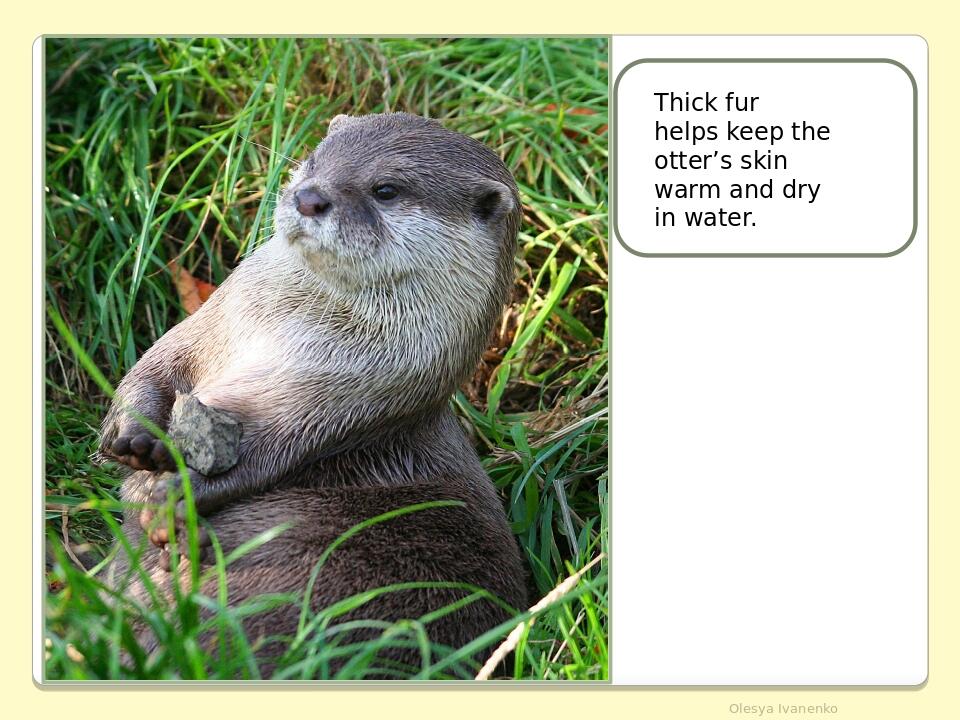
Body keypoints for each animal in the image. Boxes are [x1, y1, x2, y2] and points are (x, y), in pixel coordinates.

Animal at [101, 113, 528, 676]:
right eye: (314, 160)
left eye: (385, 190)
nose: (308, 196)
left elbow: (262, 458)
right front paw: (134, 432)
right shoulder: (211, 326)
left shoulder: (339, 400)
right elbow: (158, 364)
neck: (281, 334)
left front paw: (171, 498)